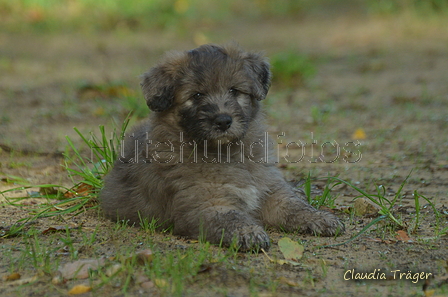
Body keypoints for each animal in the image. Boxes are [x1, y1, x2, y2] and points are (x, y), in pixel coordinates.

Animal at [100, 43, 344, 250]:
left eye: (234, 91)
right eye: (197, 95)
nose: (223, 121)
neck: (227, 153)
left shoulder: (270, 190)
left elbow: (294, 206)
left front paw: (320, 217)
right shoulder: (207, 204)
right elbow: (230, 218)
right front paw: (248, 232)